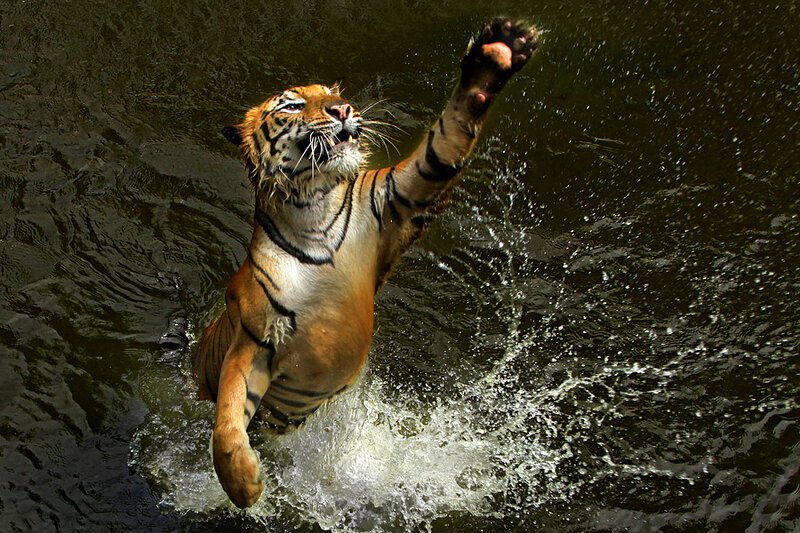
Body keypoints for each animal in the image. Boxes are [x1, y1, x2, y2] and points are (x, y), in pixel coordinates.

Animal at [192, 18, 540, 508]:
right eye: (294, 104)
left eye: (332, 92)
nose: (342, 109)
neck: (314, 212)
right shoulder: (253, 339)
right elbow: (225, 421)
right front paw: (244, 486)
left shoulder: (400, 196)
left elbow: (444, 143)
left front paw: (499, 51)